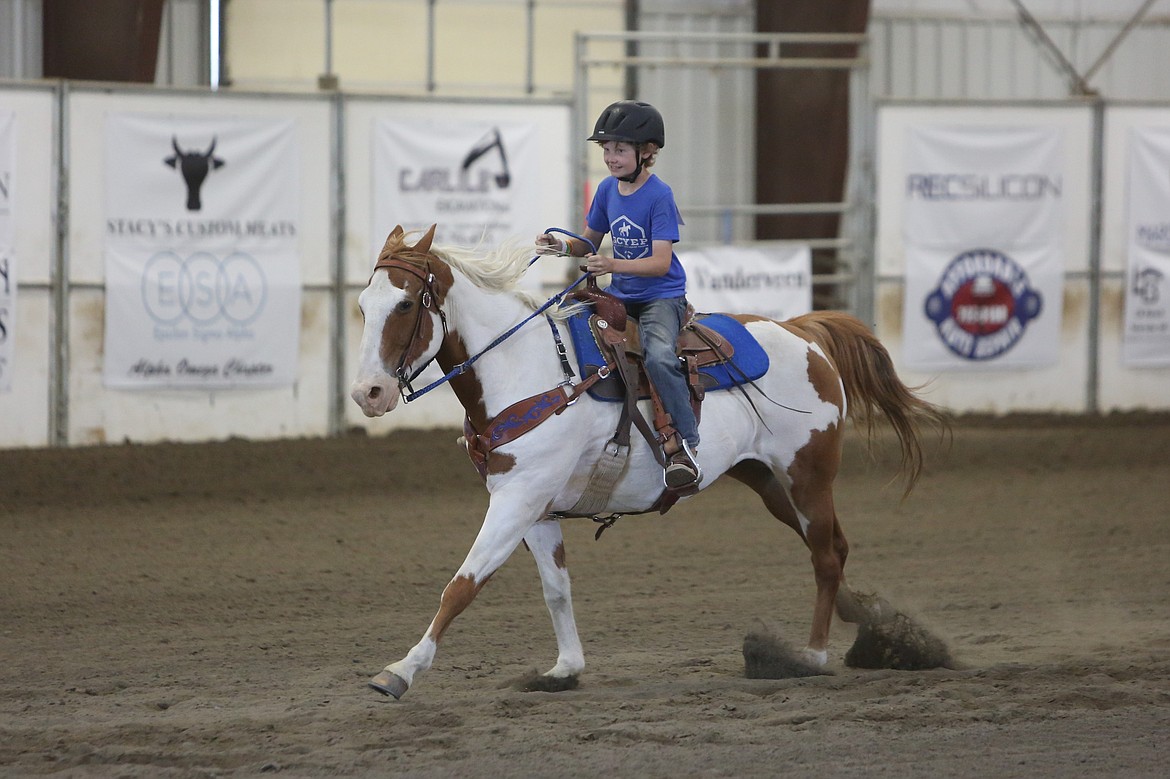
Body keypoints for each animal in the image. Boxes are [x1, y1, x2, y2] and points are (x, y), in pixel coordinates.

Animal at [351, 224, 945, 697]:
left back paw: (813, 654)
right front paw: (565, 669)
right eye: (362, 306)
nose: (367, 393)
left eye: (405, 305)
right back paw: (870, 626)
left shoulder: (518, 500)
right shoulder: (532, 507)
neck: (527, 368)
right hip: (769, 482)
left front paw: (400, 672)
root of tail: (803, 332)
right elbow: (555, 589)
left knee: (824, 555)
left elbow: (462, 585)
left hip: (807, 475)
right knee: (833, 549)